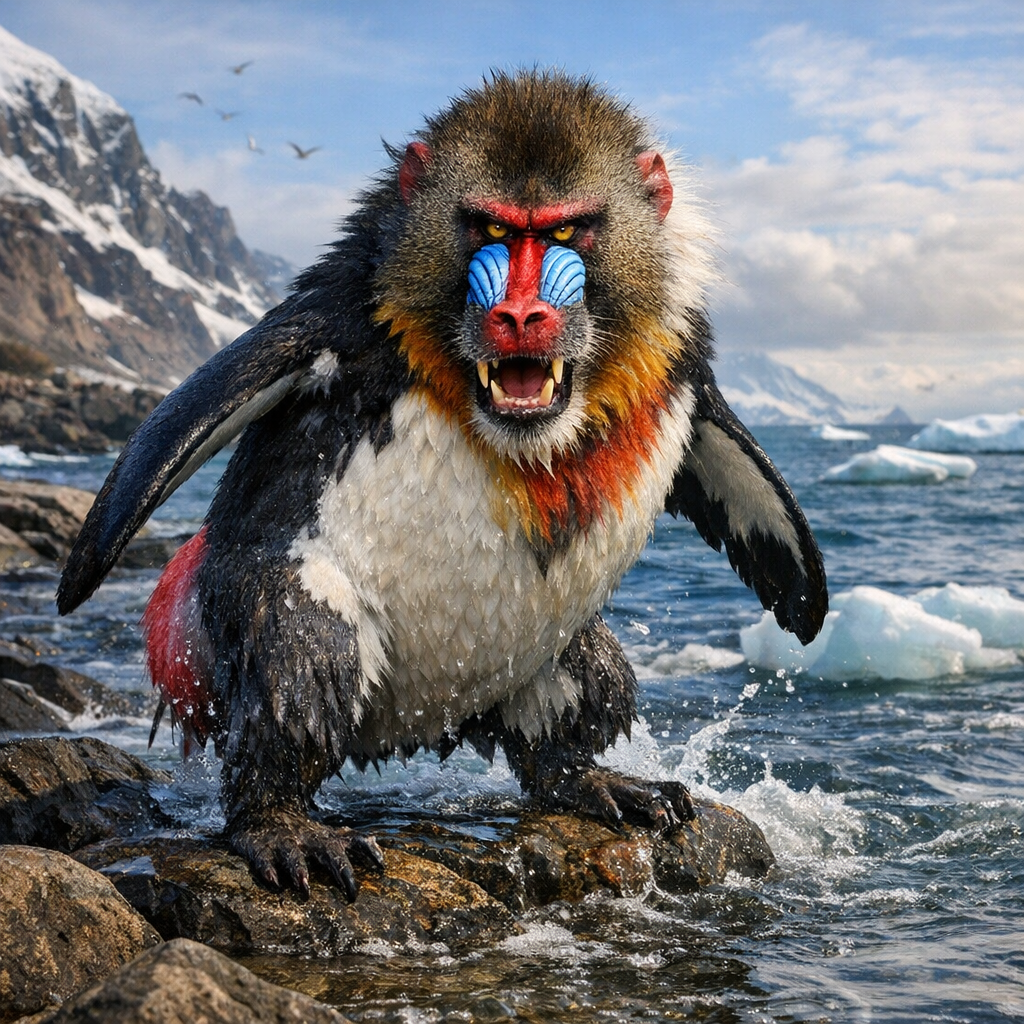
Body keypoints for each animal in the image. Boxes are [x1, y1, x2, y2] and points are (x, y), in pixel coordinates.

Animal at [58, 71, 827, 900]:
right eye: (489, 227)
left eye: (565, 233)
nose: (520, 315)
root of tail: (417, 728)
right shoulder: (337, 307)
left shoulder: (679, 352)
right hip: (269, 618)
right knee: (304, 661)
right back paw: (288, 832)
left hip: (554, 654)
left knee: (574, 703)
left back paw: (608, 786)